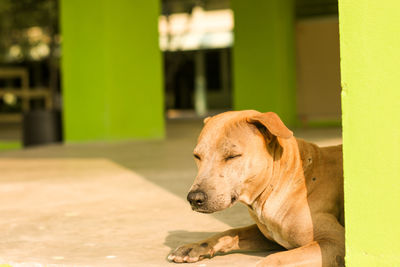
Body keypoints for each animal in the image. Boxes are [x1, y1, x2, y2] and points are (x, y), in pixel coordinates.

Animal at [166, 110, 344, 266]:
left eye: (232, 156)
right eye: (197, 156)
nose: (194, 198)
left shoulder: (334, 242)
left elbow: (275, 259)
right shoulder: (266, 236)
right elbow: (232, 232)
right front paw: (195, 247)